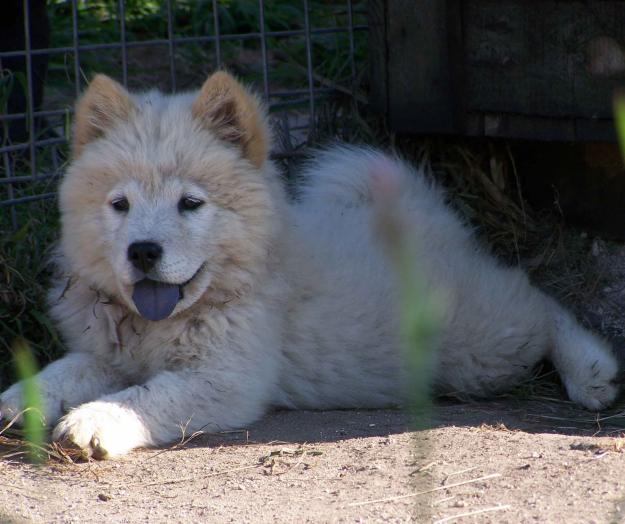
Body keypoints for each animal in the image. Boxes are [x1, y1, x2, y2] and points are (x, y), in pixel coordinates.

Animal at [0, 71, 616, 456]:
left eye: (190, 203)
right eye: (120, 205)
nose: (143, 251)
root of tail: (428, 217)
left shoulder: (224, 379)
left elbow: (141, 398)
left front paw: (91, 423)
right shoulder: (110, 354)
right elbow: (65, 370)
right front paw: (19, 401)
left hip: (479, 351)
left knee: (539, 302)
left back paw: (591, 370)